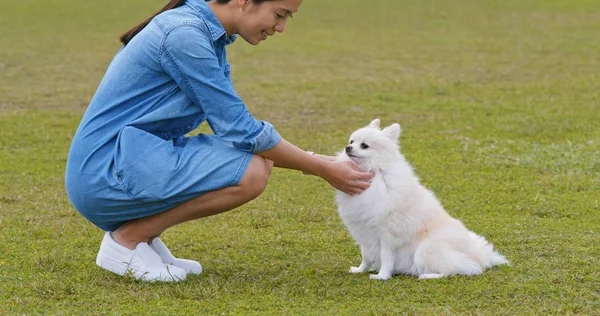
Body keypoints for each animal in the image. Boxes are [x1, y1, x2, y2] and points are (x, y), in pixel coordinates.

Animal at [336, 119, 508, 280]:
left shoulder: (386, 233)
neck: (376, 172)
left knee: (453, 270)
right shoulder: (364, 231)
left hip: (426, 248)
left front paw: (382, 276)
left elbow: (385, 257)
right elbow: (366, 255)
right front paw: (360, 270)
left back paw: (428, 276)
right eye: (351, 141)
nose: (347, 147)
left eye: (364, 145)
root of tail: (480, 256)